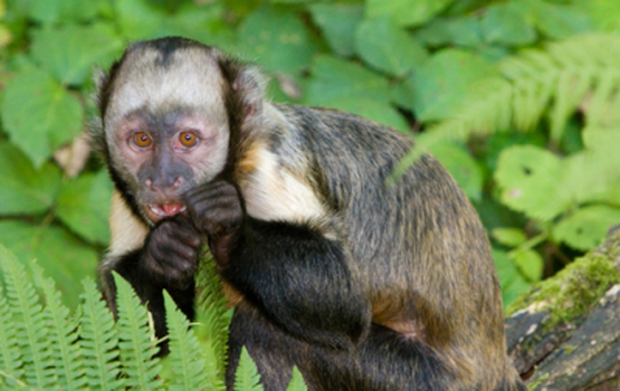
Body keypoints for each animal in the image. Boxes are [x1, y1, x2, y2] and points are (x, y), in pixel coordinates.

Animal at [91, 37, 524, 391]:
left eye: (187, 139)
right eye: (141, 140)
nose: (163, 179)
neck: (234, 165)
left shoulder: (269, 167)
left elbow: (343, 299)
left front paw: (229, 227)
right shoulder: (123, 194)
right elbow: (142, 338)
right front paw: (163, 253)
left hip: (426, 383)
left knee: (261, 330)